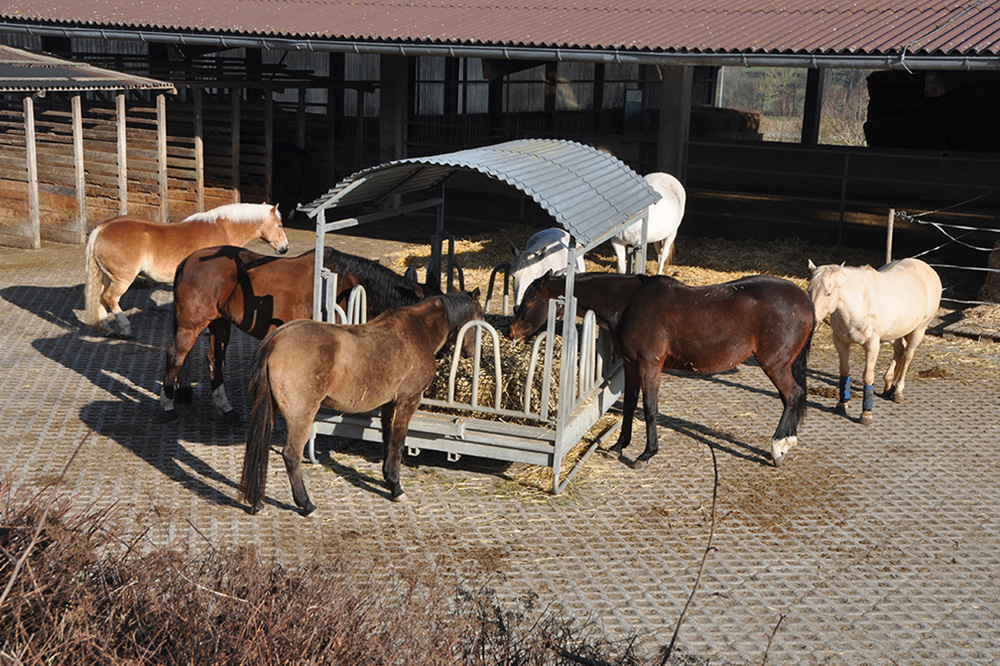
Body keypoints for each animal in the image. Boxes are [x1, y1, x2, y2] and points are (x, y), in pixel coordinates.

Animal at [82, 201, 290, 338]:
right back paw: (124, 328)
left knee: (101, 298)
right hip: (122, 278)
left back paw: (106, 328)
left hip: (106, 276)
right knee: (110, 298)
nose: (285, 248)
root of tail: (101, 228)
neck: (222, 228)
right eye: (279, 225)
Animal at [160, 244, 442, 420]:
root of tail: (187, 260)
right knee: (175, 356)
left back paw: (226, 408)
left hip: (219, 322)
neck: (343, 284)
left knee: (215, 359)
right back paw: (167, 405)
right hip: (190, 325)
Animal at [236, 290, 482, 512]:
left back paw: (257, 503)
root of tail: (274, 341)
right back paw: (306, 504)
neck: (419, 329)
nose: (471, 353)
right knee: (291, 455)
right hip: (301, 416)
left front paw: (389, 480)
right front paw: (397, 489)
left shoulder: (388, 404)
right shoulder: (407, 401)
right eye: (480, 319)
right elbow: (398, 442)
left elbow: (387, 439)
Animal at [512, 270, 816, 466]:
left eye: (530, 301)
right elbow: (631, 404)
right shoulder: (632, 366)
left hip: (775, 365)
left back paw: (779, 448)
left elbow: (649, 409)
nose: (512, 331)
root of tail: (804, 299)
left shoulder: (650, 366)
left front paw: (646, 454)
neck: (630, 303)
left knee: (792, 395)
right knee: (792, 398)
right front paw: (620, 445)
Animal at [808, 256, 940, 422]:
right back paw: (889, 385)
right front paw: (842, 404)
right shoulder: (841, 341)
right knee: (899, 351)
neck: (859, 304)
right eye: (809, 290)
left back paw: (898, 391)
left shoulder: (872, 344)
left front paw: (866, 413)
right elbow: (844, 371)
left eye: (828, 293)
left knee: (908, 356)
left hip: (919, 330)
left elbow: (868, 376)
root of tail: (927, 268)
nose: (813, 323)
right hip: (895, 332)